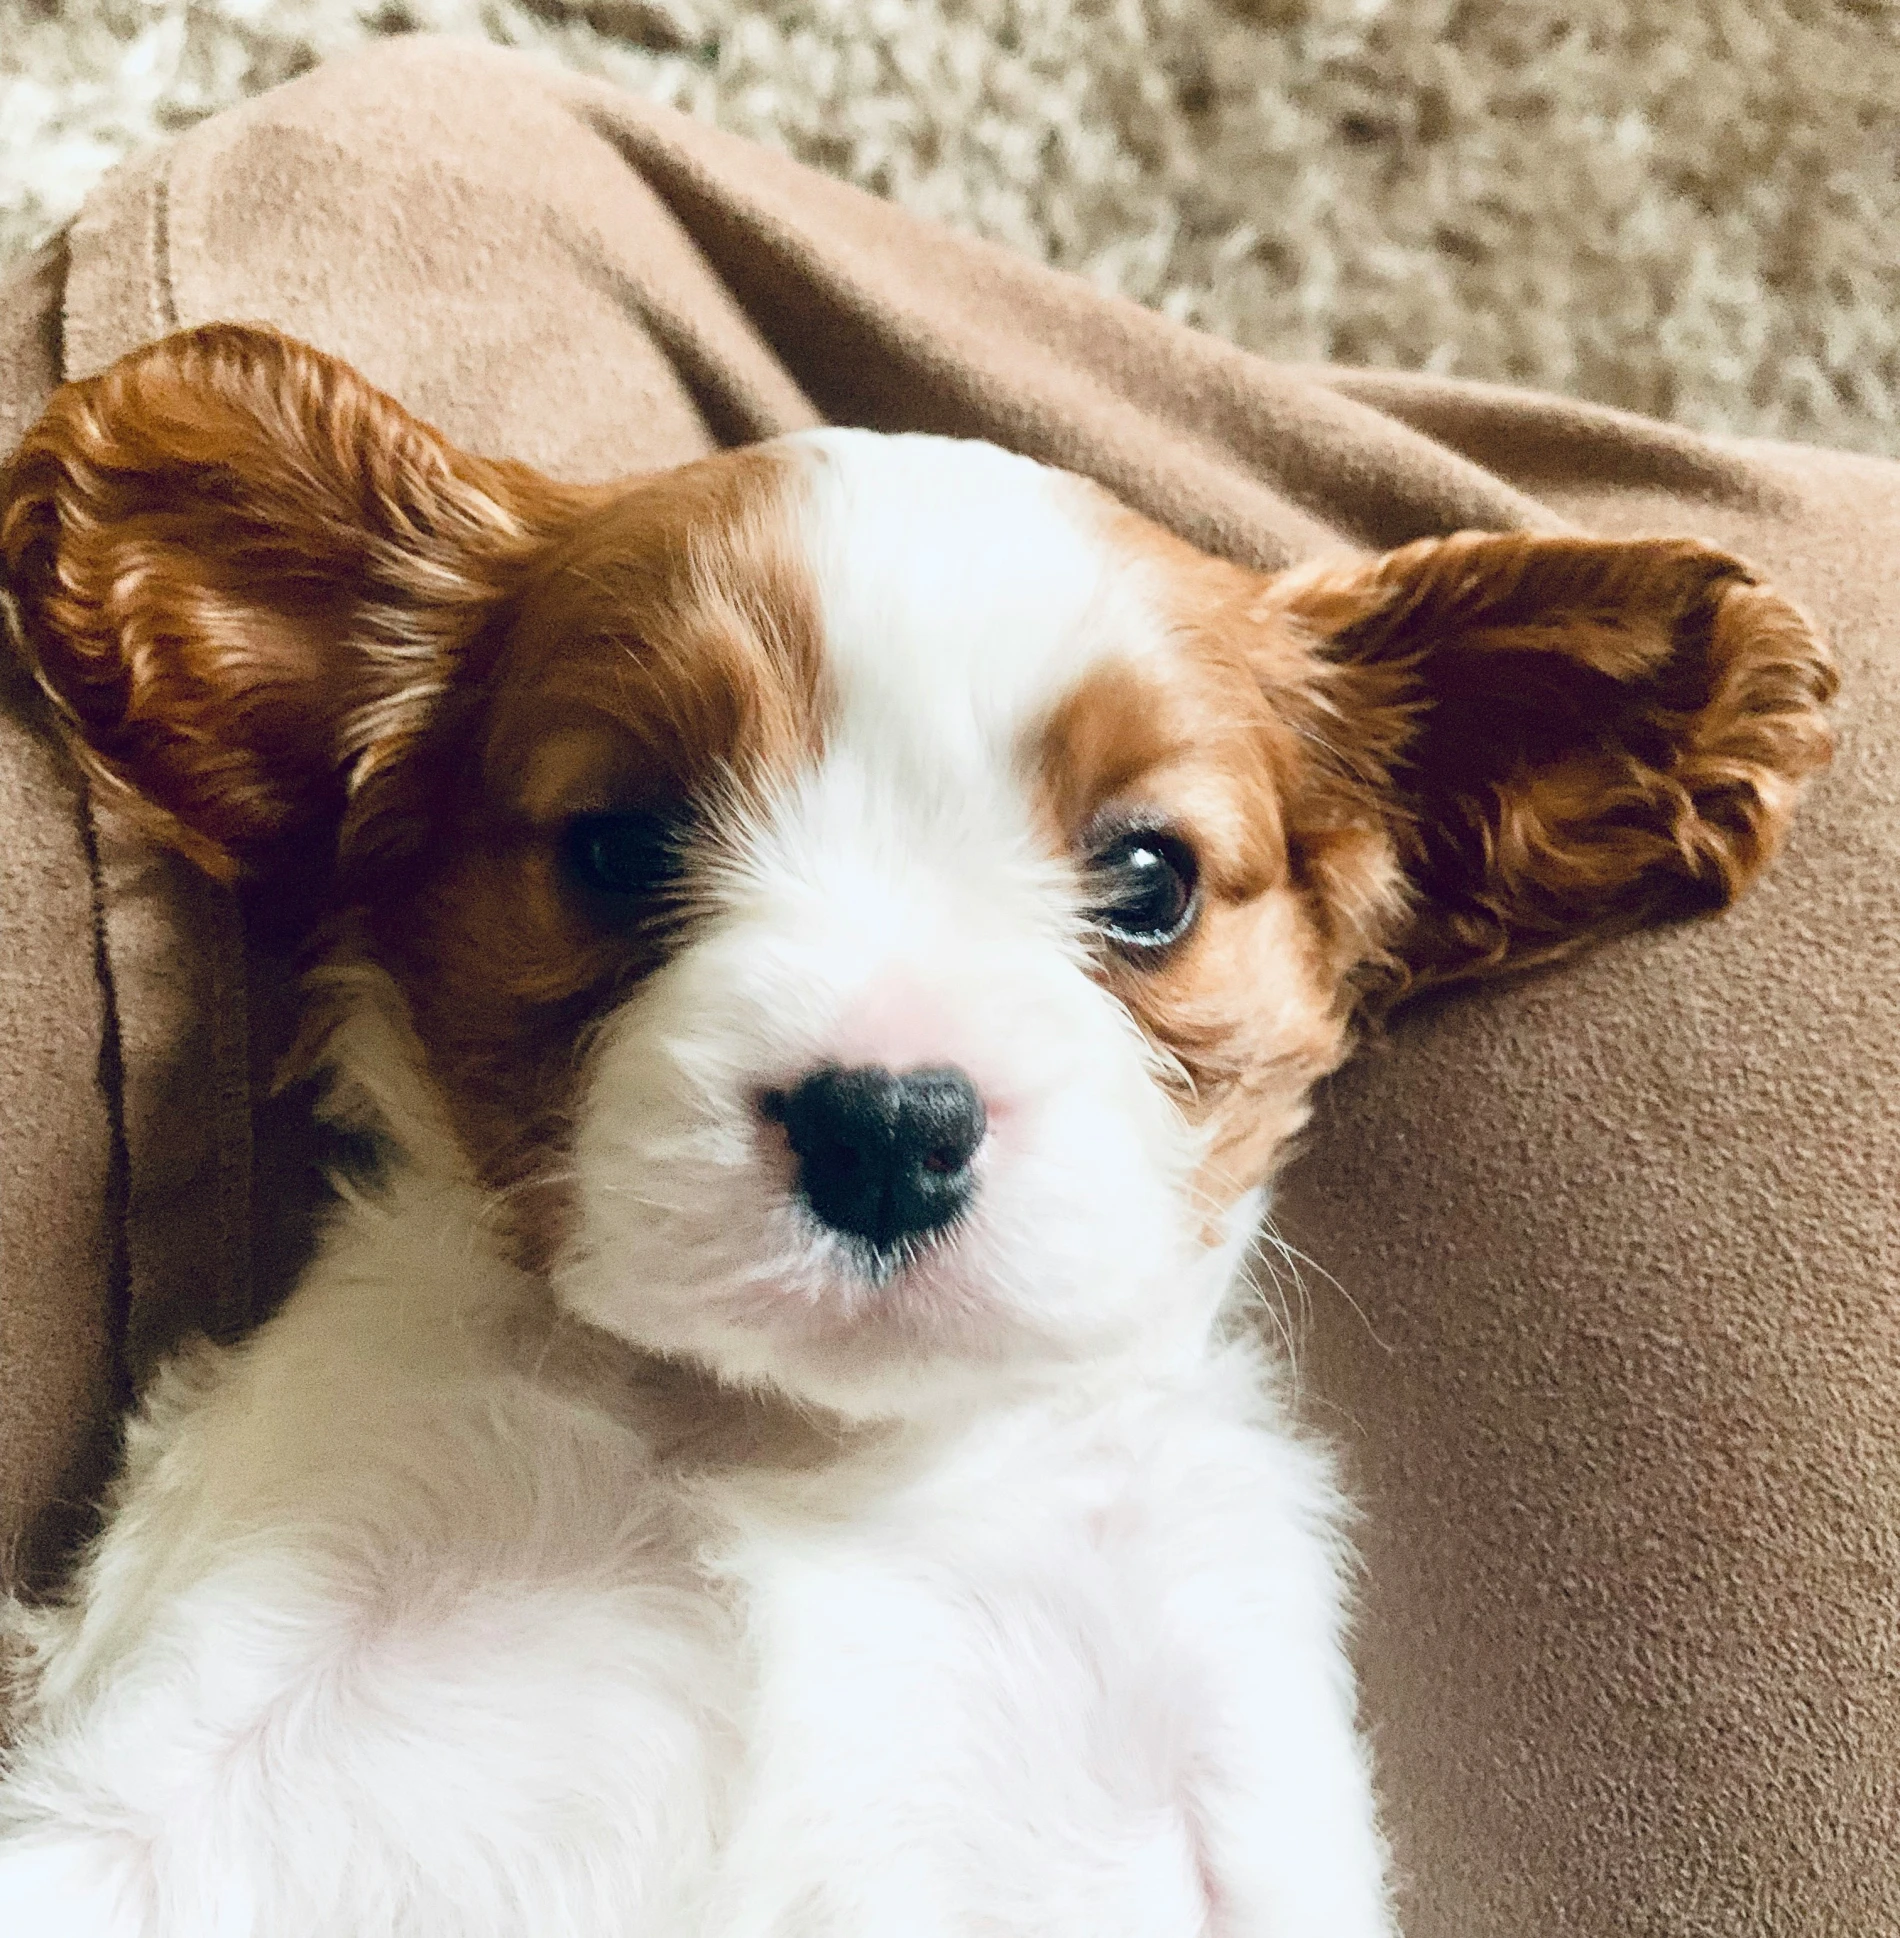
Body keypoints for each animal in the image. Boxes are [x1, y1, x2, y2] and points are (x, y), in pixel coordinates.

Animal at [0, 333, 1837, 1938]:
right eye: (618, 844)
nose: (888, 1122)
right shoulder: (179, 1718)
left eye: (1152, 879)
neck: (806, 1447)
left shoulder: (1239, 1767)